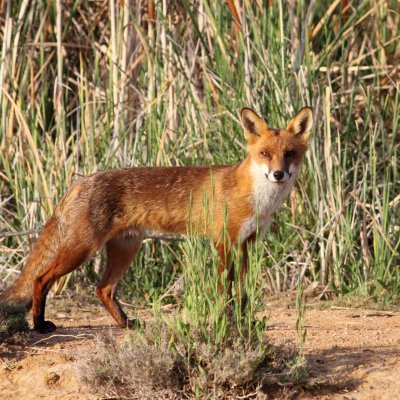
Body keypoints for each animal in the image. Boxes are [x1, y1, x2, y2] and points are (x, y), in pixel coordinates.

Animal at [0, 105, 312, 332]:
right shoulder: (224, 243)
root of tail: (80, 182)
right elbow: (225, 290)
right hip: (81, 249)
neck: (257, 200)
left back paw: (126, 324)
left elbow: (243, 292)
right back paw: (39, 325)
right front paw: (225, 321)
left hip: (126, 249)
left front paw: (245, 322)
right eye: (264, 153)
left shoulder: (247, 244)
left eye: (290, 154)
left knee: (103, 289)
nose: (278, 174)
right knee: (41, 279)